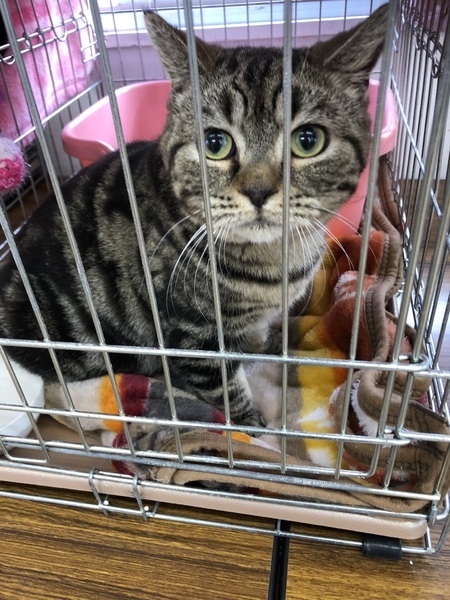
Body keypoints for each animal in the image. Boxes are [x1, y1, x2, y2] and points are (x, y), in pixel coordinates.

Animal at [0, 6, 388, 428]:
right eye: (215, 143)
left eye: (308, 140)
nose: (258, 191)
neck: (274, 261)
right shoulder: (195, 336)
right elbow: (226, 389)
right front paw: (254, 427)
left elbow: (256, 336)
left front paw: (269, 345)